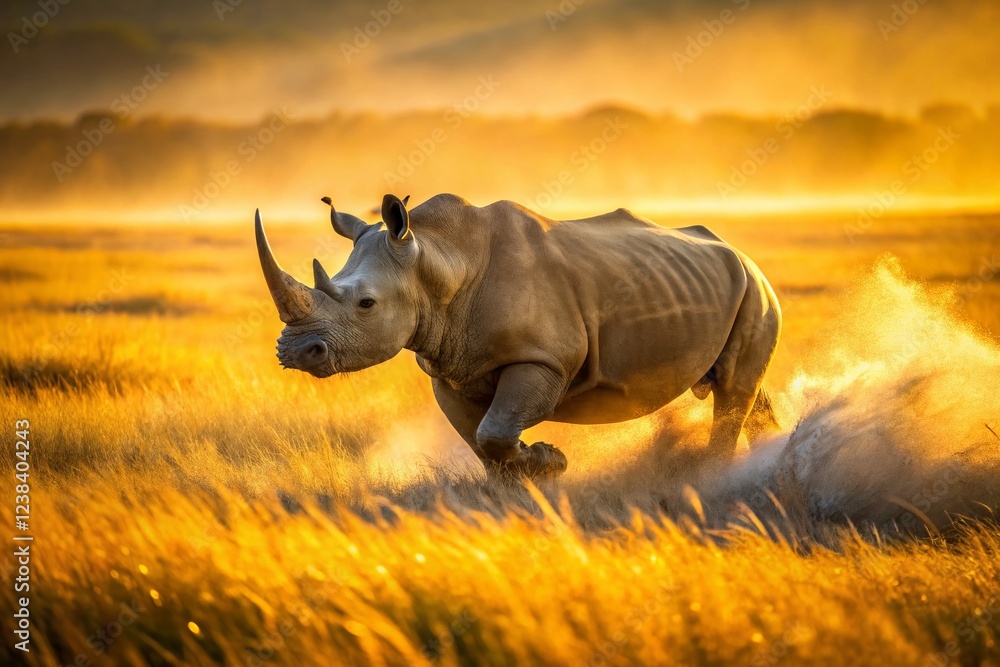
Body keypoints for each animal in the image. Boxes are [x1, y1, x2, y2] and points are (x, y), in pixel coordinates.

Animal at [255, 193, 781, 479]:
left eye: (366, 304)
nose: (295, 352)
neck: (439, 259)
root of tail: (740, 253)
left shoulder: (543, 358)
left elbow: (494, 429)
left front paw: (548, 462)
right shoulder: (450, 368)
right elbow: (479, 439)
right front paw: (522, 484)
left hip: (755, 288)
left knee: (733, 391)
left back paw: (714, 474)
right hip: (730, 286)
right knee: (743, 390)